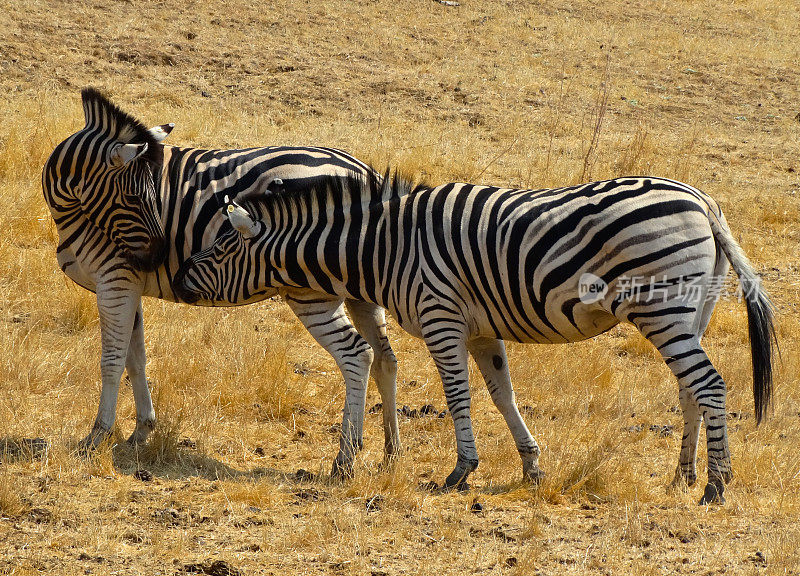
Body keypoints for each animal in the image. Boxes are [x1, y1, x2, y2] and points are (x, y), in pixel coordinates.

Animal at [40, 89, 404, 468]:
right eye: (134, 196)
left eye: (145, 195)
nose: (157, 256)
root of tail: (366, 171)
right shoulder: (129, 284)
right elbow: (135, 359)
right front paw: (142, 430)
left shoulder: (115, 279)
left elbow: (111, 360)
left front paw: (97, 435)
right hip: (364, 285)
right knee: (385, 360)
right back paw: (391, 451)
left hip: (310, 291)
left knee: (357, 355)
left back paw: (345, 457)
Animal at [177, 171, 776, 504]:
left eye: (220, 248)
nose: (180, 280)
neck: (388, 246)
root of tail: (703, 202)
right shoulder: (482, 330)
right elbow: (501, 393)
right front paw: (532, 466)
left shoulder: (441, 317)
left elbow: (457, 395)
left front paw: (461, 471)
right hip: (689, 312)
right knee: (689, 389)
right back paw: (682, 476)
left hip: (662, 308)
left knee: (711, 385)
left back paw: (716, 485)